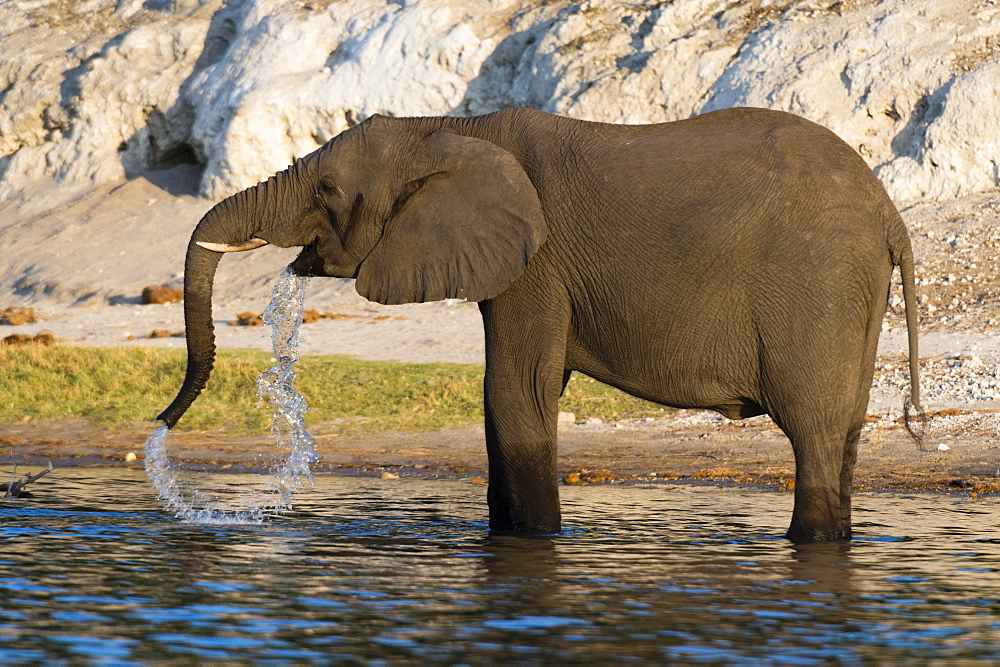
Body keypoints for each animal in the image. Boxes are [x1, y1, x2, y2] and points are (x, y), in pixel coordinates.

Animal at [158, 104, 920, 544]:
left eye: (327, 191)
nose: (161, 423)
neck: (451, 130)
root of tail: (890, 215)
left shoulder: (538, 264)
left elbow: (515, 393)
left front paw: (534, 541)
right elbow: (509, 401)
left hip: (817, 281)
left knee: (813, 432)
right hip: (852, 294)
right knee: (845, 433)